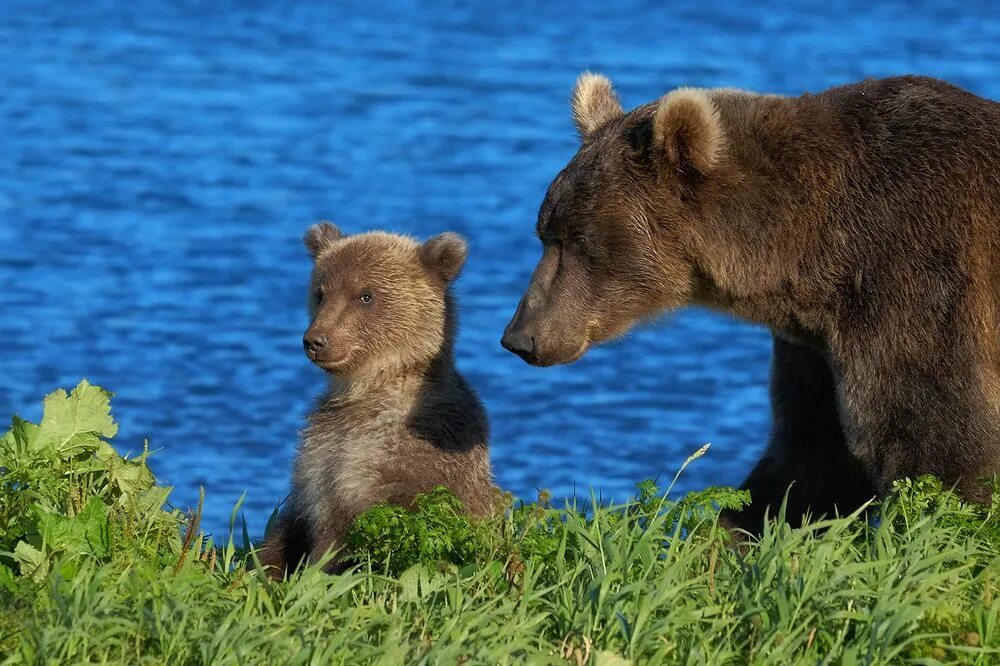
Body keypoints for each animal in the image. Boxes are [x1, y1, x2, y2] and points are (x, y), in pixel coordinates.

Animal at [256, 223, 494, 576]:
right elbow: (292, 526)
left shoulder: (418, 451)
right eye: (321, 291)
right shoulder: (317, 458)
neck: (370, 388)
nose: (316, 340)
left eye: (366, 295)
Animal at [504, 71, 1000, 528]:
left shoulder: (914, 277)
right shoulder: (815, 343)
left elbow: (937, 446)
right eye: (544, 233)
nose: (520, 337)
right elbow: (810, 456)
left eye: (577, 239)